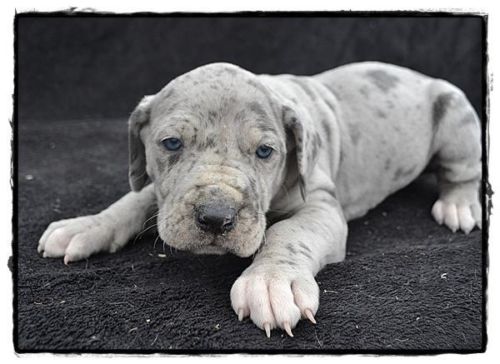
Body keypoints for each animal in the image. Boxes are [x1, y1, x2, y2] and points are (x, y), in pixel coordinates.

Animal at [37, 62, 482, 338]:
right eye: (171, 143)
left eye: (266, 152)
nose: (215, 218)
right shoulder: (164, 193)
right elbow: (133, 201)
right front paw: (86, 225)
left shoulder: (321, 205)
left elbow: (288, 233)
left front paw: (271, 282)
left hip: (458, 118)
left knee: (464, 172)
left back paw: (458, 205)